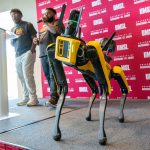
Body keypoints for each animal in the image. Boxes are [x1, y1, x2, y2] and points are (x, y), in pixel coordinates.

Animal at [47, 6, 129, 145]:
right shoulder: (52, 52)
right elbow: (63, 89)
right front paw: (56, 132)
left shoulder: (92, 52)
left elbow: (104, 90)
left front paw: (102, 136)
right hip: (87, 75)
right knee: (94, 90)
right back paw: (89, 114)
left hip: (111, 72)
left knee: (121, 83)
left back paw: (120, 115)